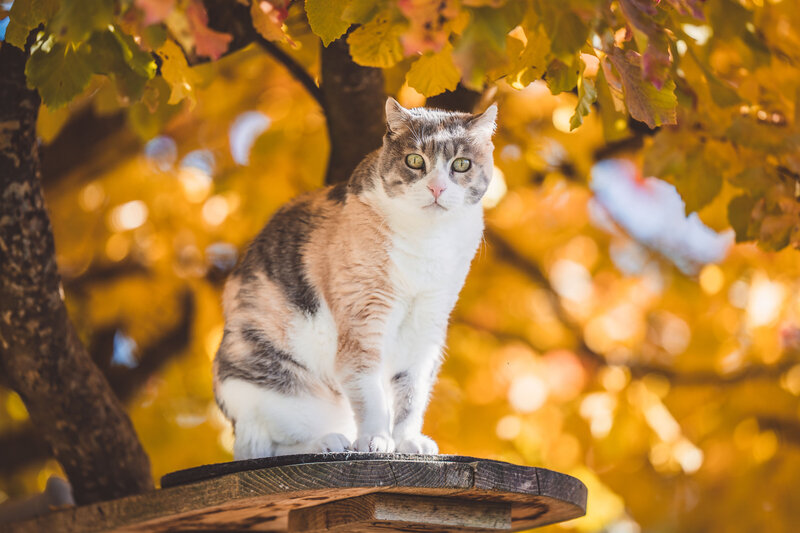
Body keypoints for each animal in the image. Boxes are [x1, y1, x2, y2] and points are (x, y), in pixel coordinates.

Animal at [216, 96, 496, 458]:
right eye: (415, 160)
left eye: (461, 165)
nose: (437, 187)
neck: (428, 241)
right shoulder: (364, 314)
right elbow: (368, 387)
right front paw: (375, 439)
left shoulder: (428, 323)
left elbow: (412, 391)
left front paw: (407, 441)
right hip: (269, 386)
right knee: (277, 445)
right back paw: (329, 442)